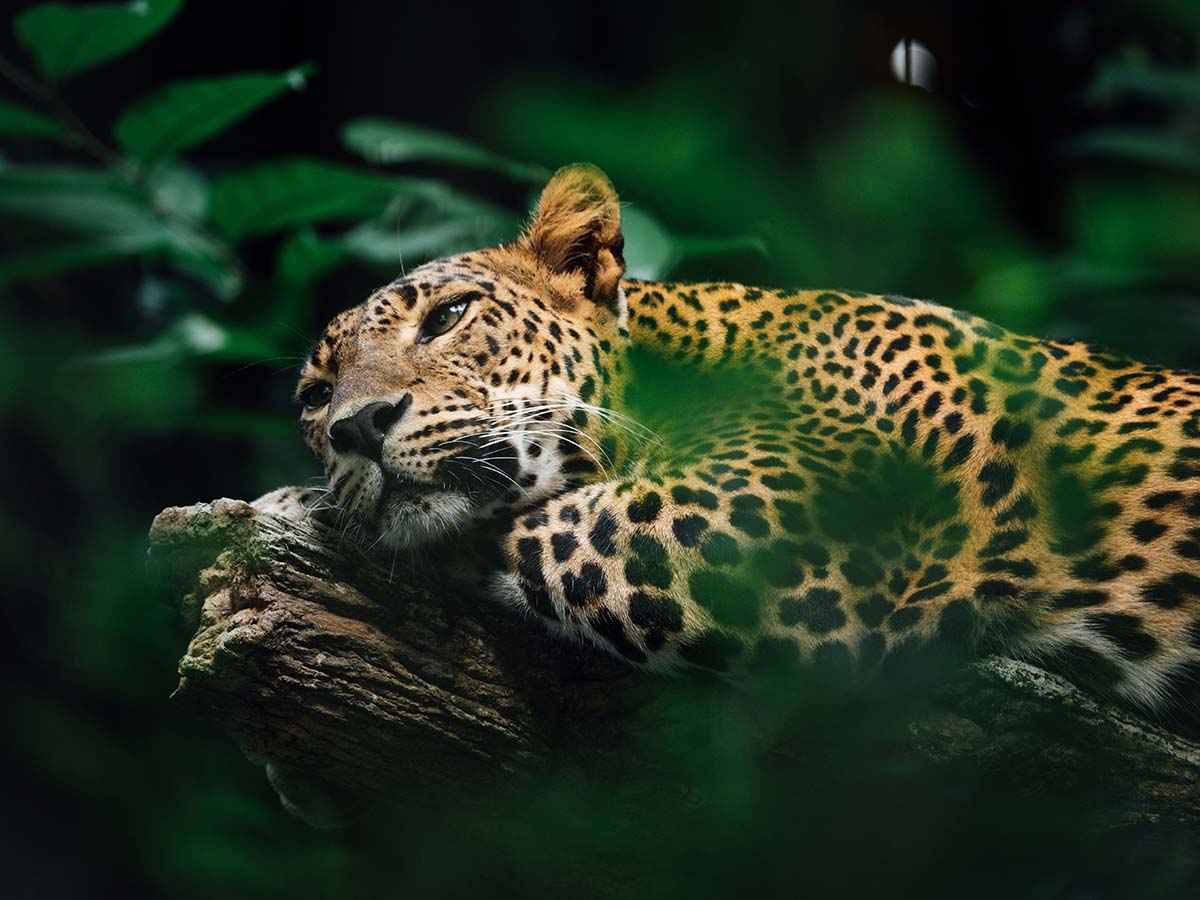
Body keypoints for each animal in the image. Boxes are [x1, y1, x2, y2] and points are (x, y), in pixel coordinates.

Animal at [257, 163, 1200, 725]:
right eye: (314, 396)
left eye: (448, 315)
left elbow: (515, 526)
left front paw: (296, 506)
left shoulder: (755, 533)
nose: (355, 428)